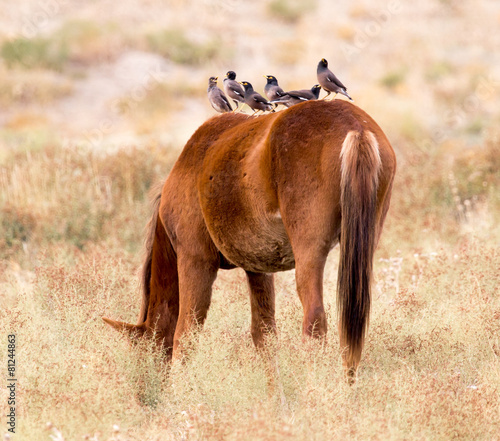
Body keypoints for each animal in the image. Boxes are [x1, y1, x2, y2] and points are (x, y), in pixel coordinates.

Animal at [103, 99, 396, 378]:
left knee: (314, 323)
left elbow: (185, 336)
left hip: (309, 256)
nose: (146, 391)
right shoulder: (258, 270)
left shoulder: (195, 261)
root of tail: (355, 127)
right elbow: (264, 337)